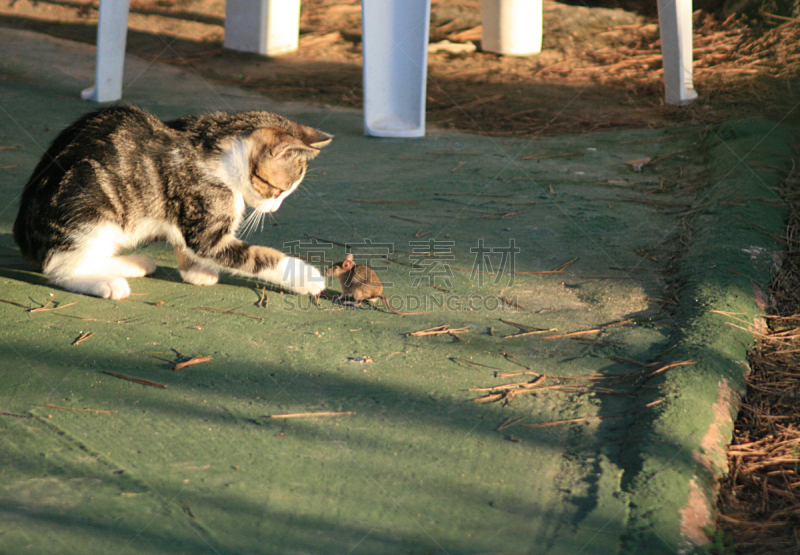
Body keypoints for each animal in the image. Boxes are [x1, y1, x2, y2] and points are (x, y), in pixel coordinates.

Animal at [12, 106, 332, 302]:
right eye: (278, 190)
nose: (275, 208)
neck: (220, 153)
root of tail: (24, 237)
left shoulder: (188, 209)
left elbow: (183, 238)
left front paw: (194, 271)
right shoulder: (207, 223)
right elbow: (255, 257)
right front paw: (305, 276)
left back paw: (131, 263)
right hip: (89, 207)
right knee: (60, 268)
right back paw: (106, 283)